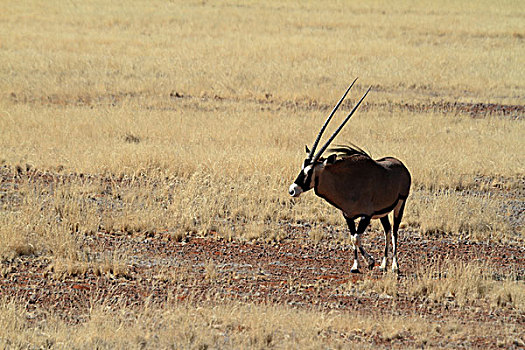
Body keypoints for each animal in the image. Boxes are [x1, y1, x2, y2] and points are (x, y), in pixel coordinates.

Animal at [288, 80, 412, 274]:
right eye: (302, 168)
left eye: (309, 171)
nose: (292, 190)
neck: (347, 182)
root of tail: (402, 166)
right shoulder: (348, 216)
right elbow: (353, 237)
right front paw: (357, 265)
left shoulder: (366, 215)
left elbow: (356, 238)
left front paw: (369, 262)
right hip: (384, 211)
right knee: (387, 229)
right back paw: (384, 264)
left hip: (400, 203)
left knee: (394, 231)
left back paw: (394, 266)